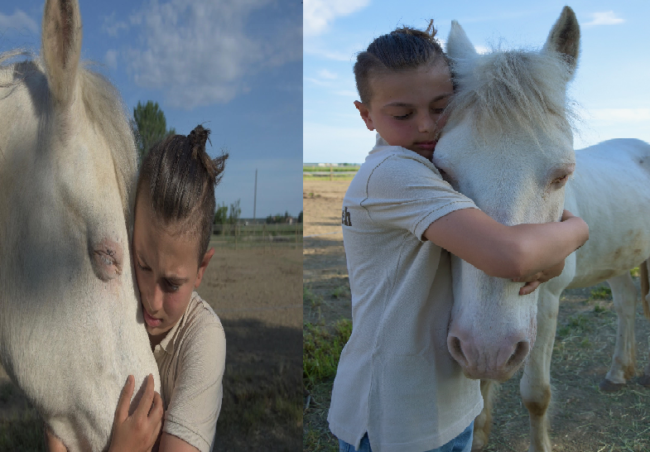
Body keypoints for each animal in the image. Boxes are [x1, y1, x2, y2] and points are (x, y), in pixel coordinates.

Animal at [434, 7, 650, 452]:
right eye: (442, 170)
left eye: (563, 173)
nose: (489, 346)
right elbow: (480, 393)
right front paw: (480, 435)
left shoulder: (547, 303)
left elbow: (536, 395)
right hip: (618, 258)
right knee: (625, 302)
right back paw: (618, 372)